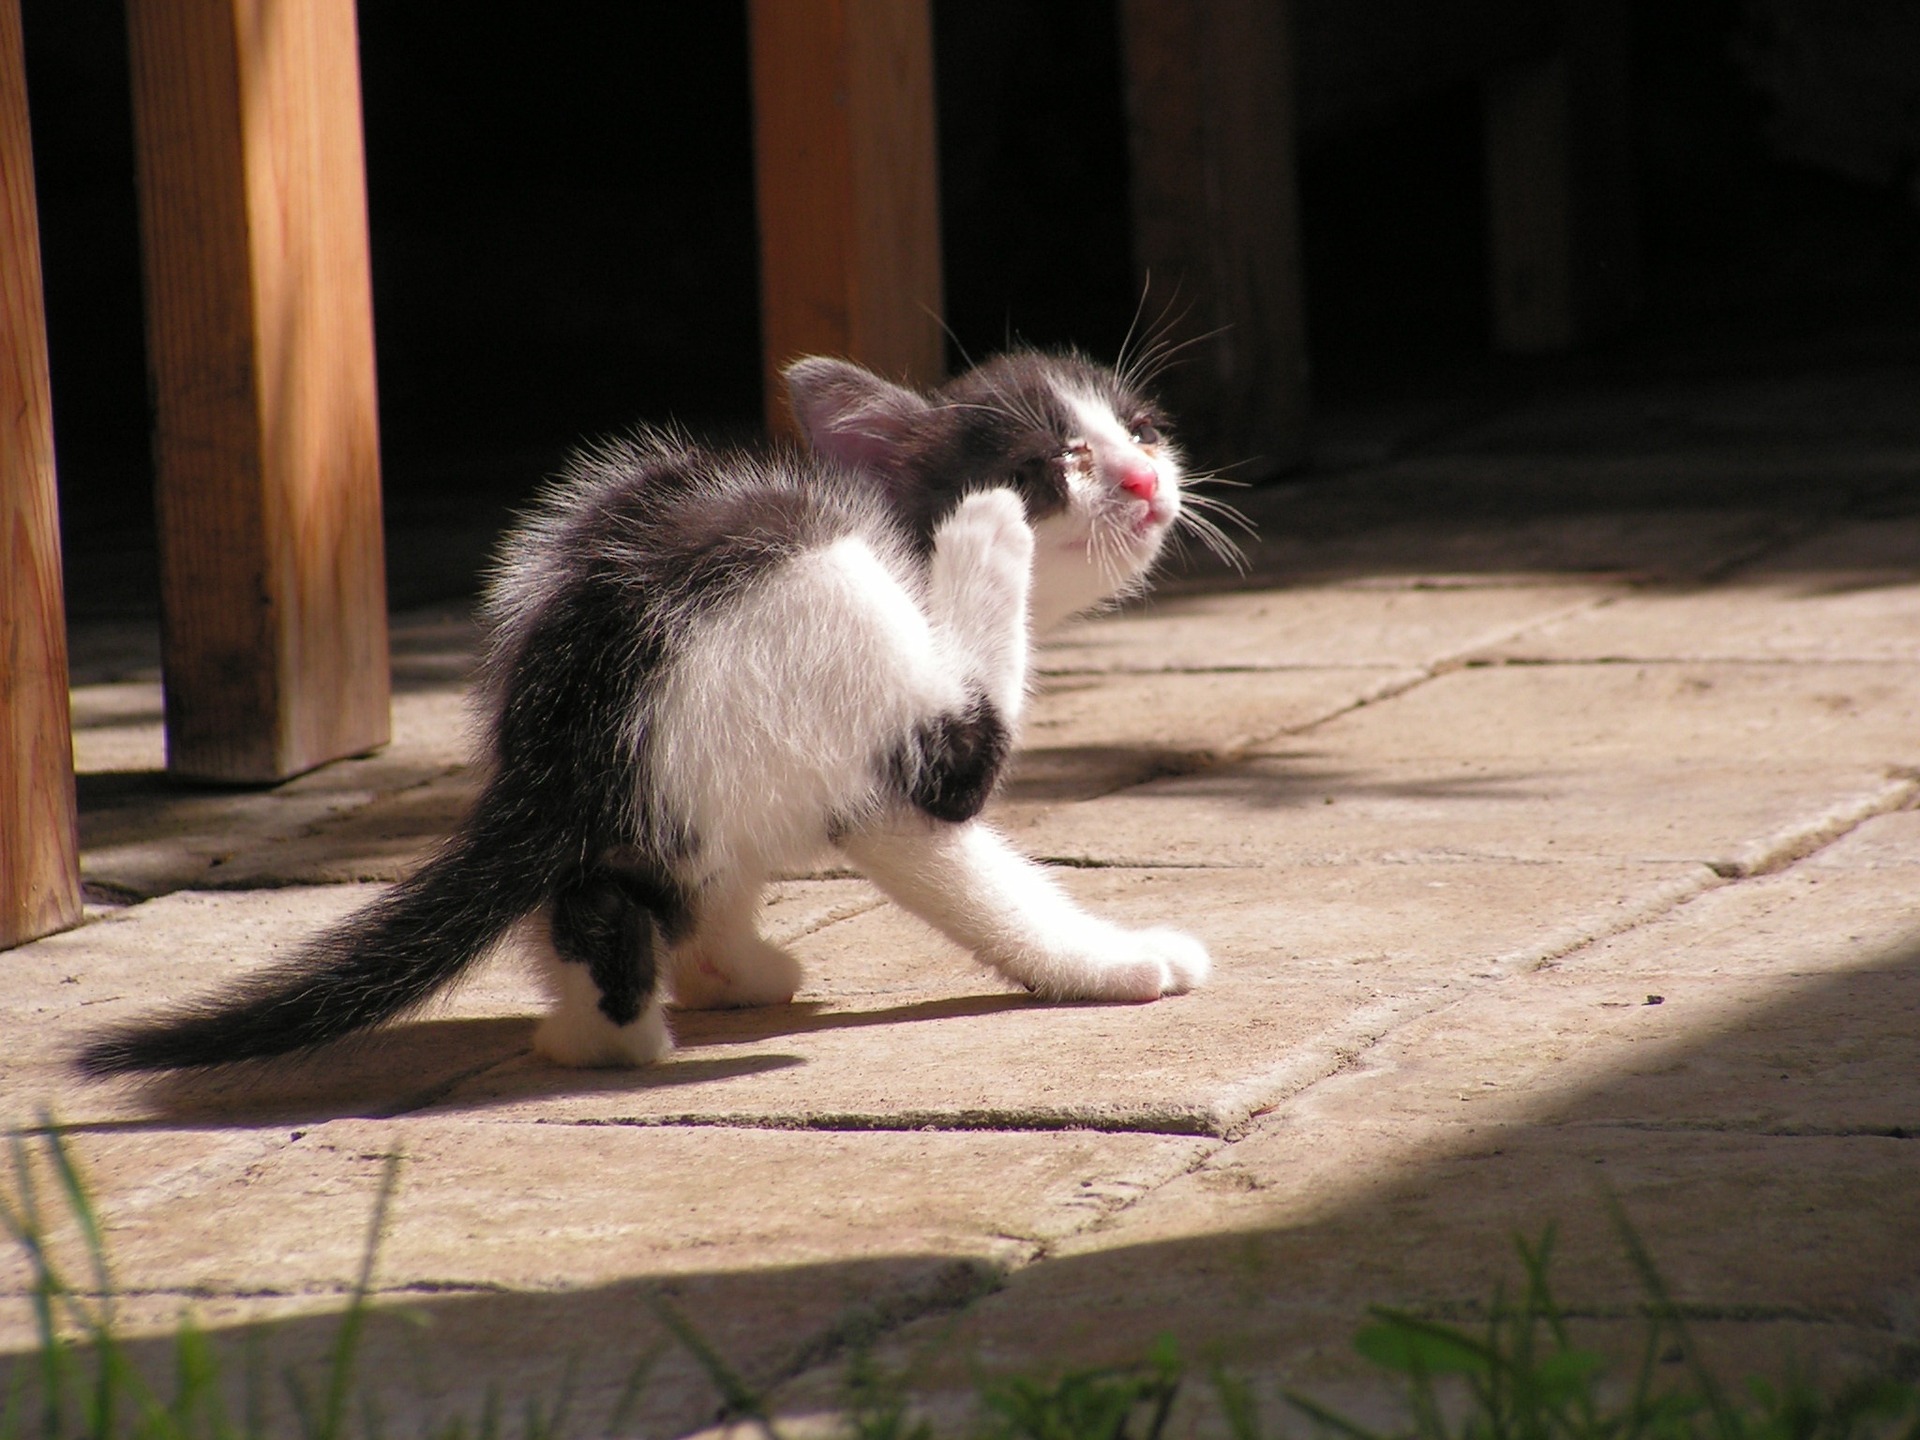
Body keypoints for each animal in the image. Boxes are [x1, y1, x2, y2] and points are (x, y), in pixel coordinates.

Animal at [82, 347, 1213, 1075]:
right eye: (1058, 459)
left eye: (1143, 429)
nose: (1148, 478)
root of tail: (572, 710)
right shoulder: (885, 753)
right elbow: (974, 864)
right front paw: (1110, 962)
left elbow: (723, 883)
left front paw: (727, 964)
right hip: (825, 616)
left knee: (606, 887)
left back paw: (590, 1032)